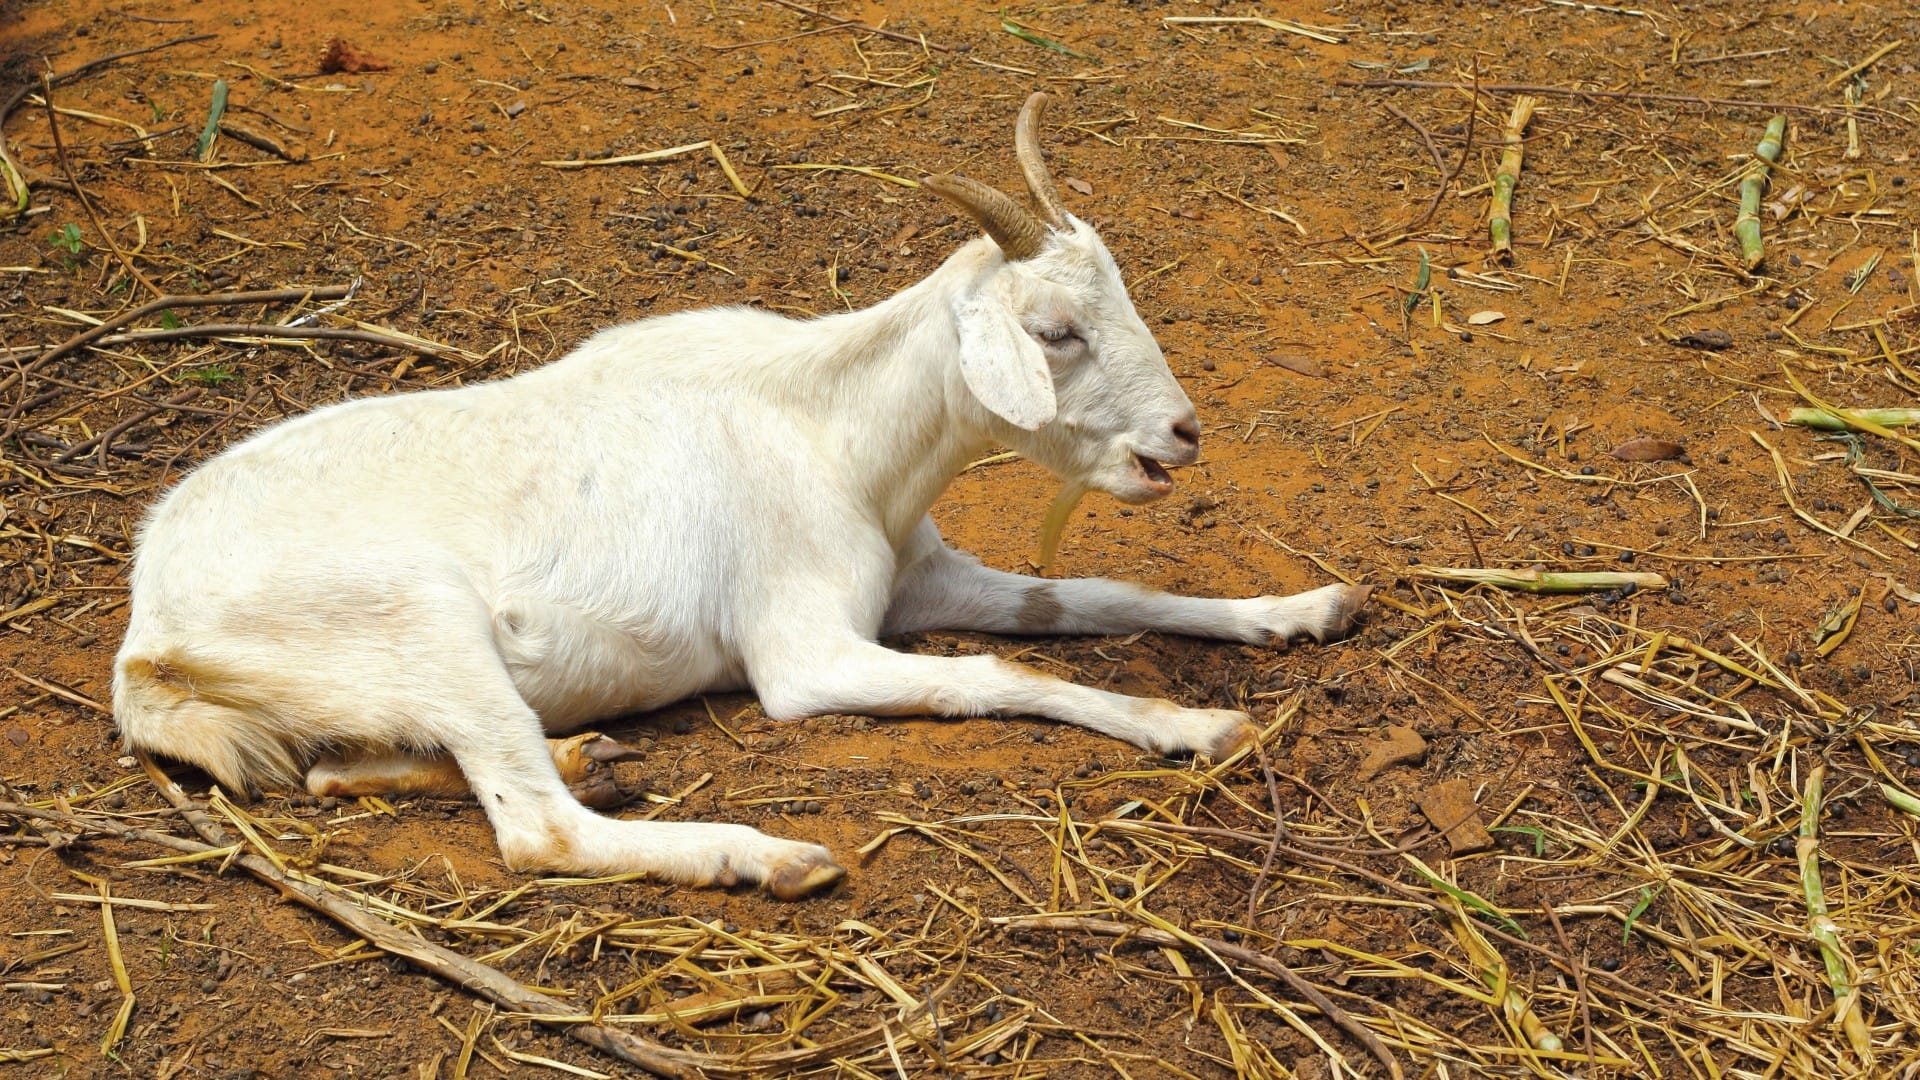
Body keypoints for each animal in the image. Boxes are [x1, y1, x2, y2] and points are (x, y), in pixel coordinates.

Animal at [112, 94, 1369, 899]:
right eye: (1056, 331)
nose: (1182, 434)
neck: (835, 433)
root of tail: (146, 638)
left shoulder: (922, 577)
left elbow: (1090, 596)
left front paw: (1299, 611)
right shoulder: (804, 654)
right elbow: (992, 674)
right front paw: (1194, 725)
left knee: (341, 770)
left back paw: (593, 754)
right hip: (420, 619)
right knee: (536, 835)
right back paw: (761, 855)